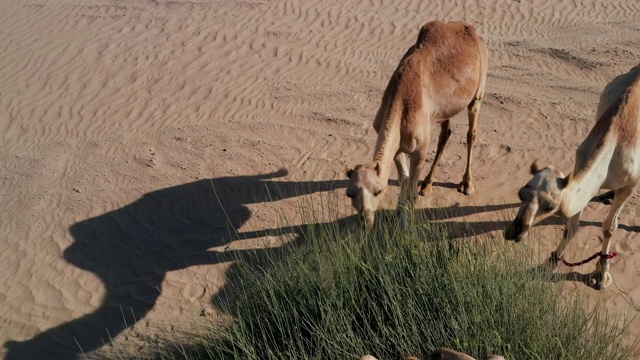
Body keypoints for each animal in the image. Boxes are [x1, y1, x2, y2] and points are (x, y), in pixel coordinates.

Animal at [348, 19, 488, 225]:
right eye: (349, 194)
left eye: (378, 191)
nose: (366, 219)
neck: (399, 101)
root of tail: (474, 33)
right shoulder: (398, 146)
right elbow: (404, 181)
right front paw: (399, 214)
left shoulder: (420, 150)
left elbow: (411, 191)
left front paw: (406, 224)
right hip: (446, 106)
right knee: (445, 133)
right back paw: (427, 184)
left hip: (478, 91)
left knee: (472, 133)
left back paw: (466, 184)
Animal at [504, 62, 640, 290]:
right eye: (521, 194)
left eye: (550, 206)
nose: (514, 231)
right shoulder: (580, 164)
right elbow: (571, 227)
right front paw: (548, 264)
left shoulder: (629, 185)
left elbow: (609, 228)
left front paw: (602, 274)